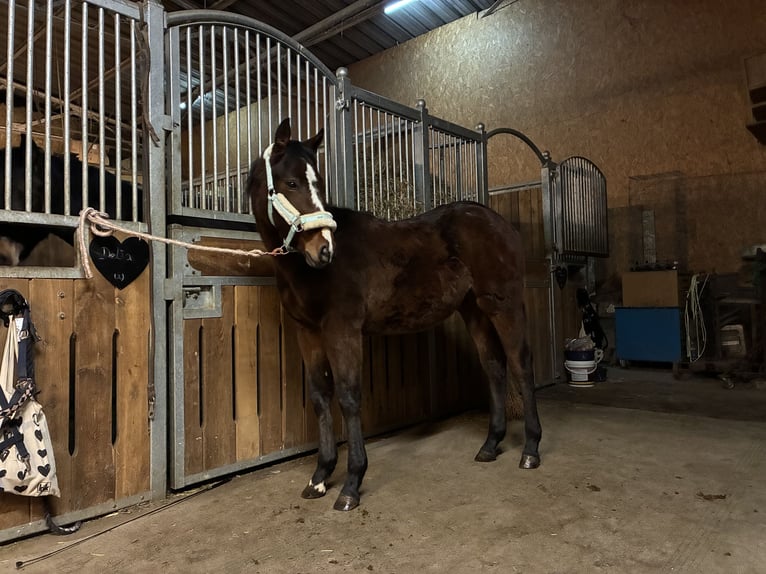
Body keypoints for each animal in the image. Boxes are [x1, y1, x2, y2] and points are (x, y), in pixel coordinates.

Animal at [246, 118, 542, 511]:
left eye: (318, 182)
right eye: (291, 183)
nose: (324, 250)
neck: (309, 272)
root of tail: (501, 223)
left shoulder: (342, 330)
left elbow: (348, 397)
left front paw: (351, 485)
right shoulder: (307, 333)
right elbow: (321, 396)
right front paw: (320, 478)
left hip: (503, 303)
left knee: (520, 363)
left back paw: (531, 450)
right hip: (474, 310)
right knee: (494, 365)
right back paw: (490, 445)